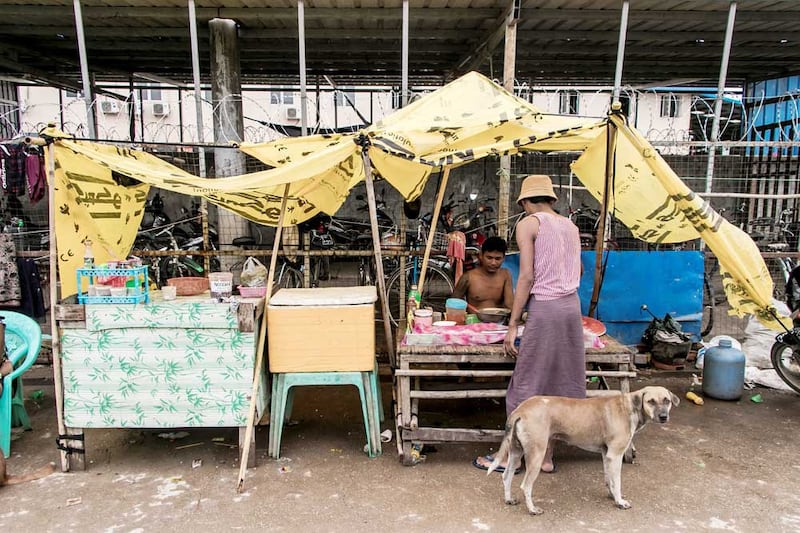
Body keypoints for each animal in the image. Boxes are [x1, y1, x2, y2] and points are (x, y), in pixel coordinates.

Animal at [488, 384, 680, 512]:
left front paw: (612, 495)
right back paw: (533, 509)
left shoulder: (606, 454)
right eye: (651, 401)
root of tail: (520, 410)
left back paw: (509, 499)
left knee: (506, 476)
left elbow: (609, 479)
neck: (629, 407)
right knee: (526, 486)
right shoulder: (615, 455)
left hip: (515, 452)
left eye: (666, 400)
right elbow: (617, 481)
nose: (664, 417)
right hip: (536, 455)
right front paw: (619, 501)